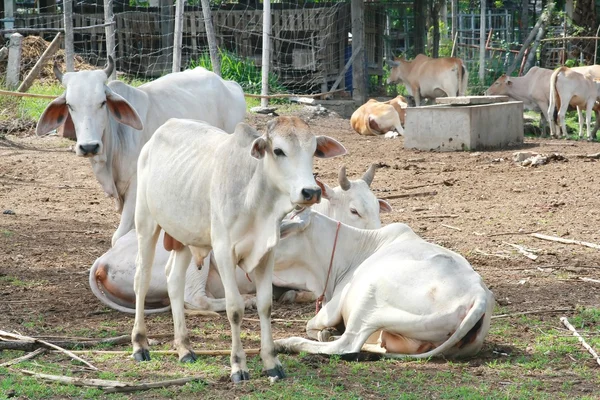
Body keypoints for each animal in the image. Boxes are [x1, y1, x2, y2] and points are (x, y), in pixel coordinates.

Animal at [35, 55, 246, 244]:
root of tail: (230, 85)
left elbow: (119, 236)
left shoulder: (135, 188)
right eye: (70, 105)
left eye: (102, 102)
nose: (89, 146)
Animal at [131, 115, 346, 384]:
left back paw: (185, 348)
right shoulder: (224, 252)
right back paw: (140, 345)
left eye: (313, 150)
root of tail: (159, 132)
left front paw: (271, 362)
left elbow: (265, 305)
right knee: (142, 277)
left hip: (184, 238)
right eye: (278, 151)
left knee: (174, 280)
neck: (256, 198)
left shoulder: (267, 253)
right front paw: (238, 365)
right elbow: (235, 309)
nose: (311, 191)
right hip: (146, 223)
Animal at [274, 209, 494, 360]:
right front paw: (327, 333)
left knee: (347, 345)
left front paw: (323, 333)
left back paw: (284, 343)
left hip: (371, 295)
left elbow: (311, 324)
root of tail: (479, 295)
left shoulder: (336, 303)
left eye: (281, 233)